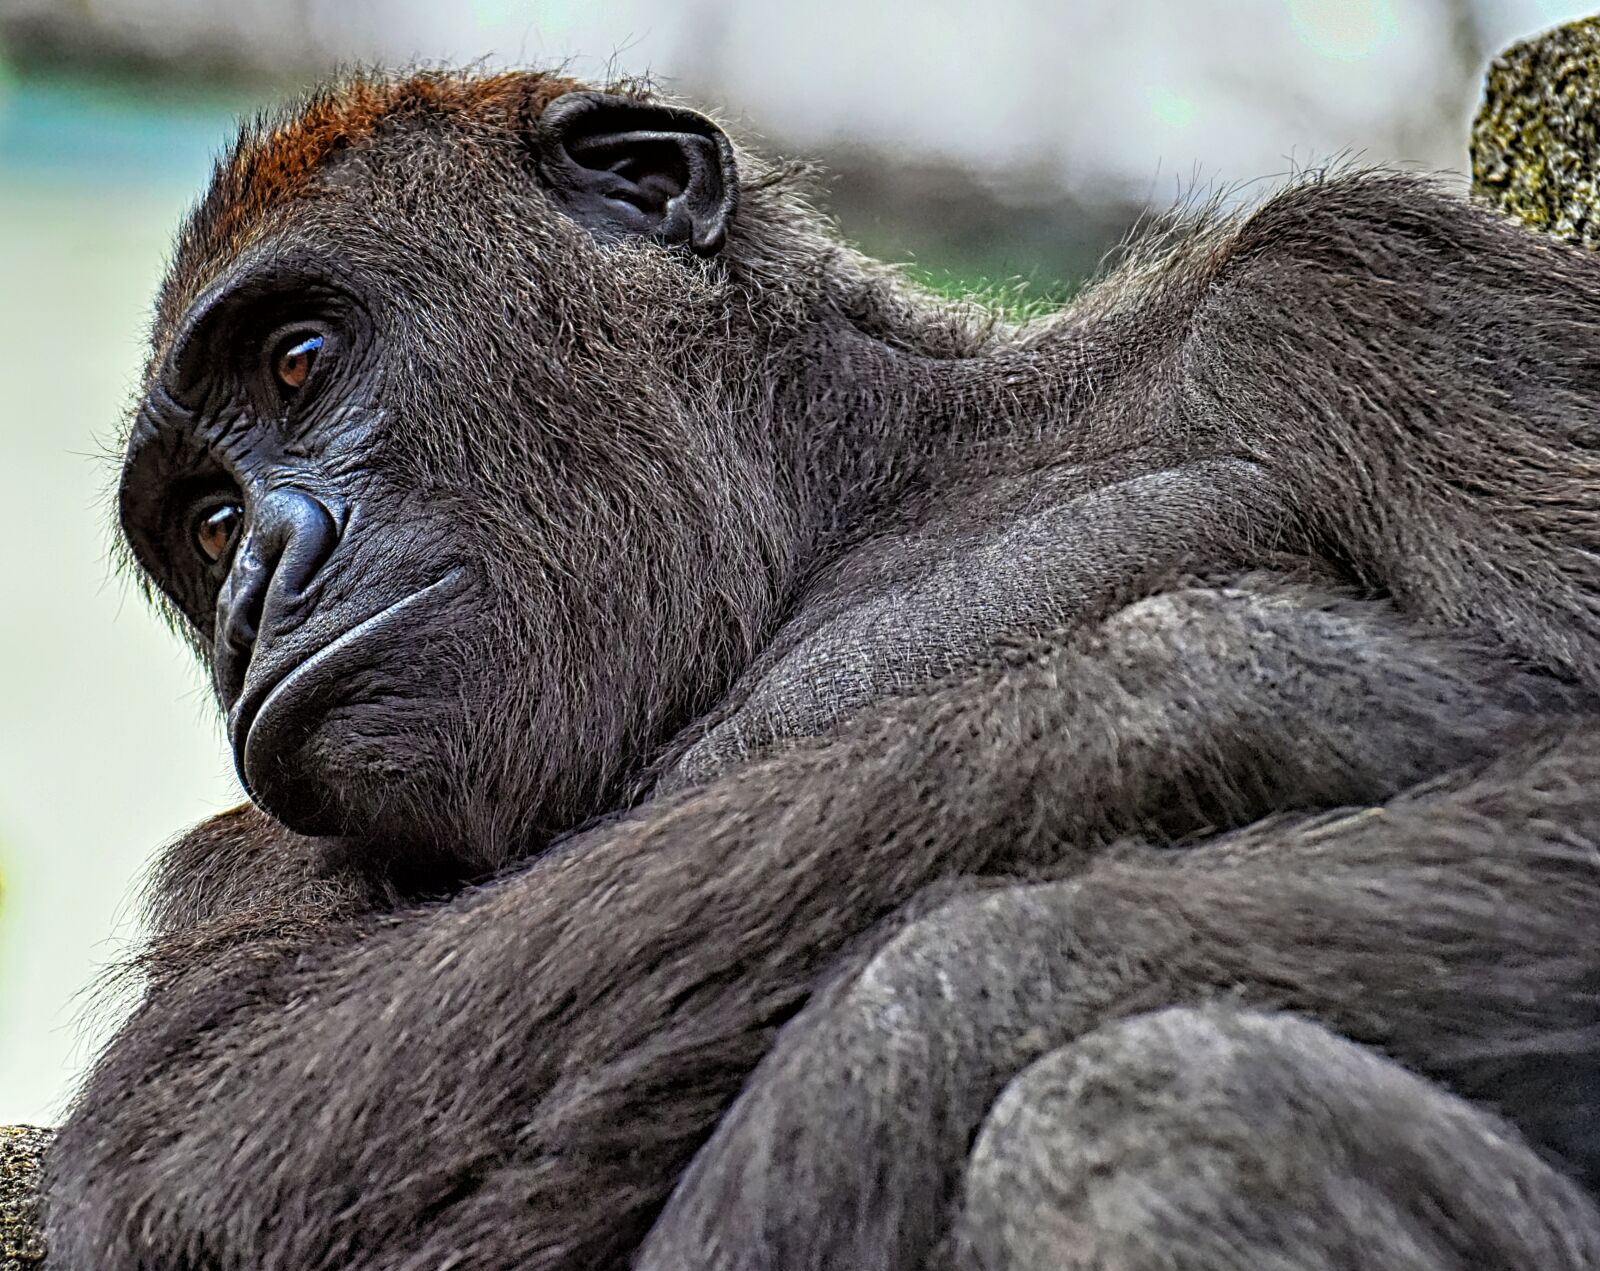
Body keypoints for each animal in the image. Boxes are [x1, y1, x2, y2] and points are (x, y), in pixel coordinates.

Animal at [41, 68, 1600, 1269]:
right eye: (211, 522)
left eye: (301, 358)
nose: (256, 587)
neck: (856, 489)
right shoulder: (248, 853)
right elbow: (203, 1140)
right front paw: (1243, 684)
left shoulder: (1353, 289)